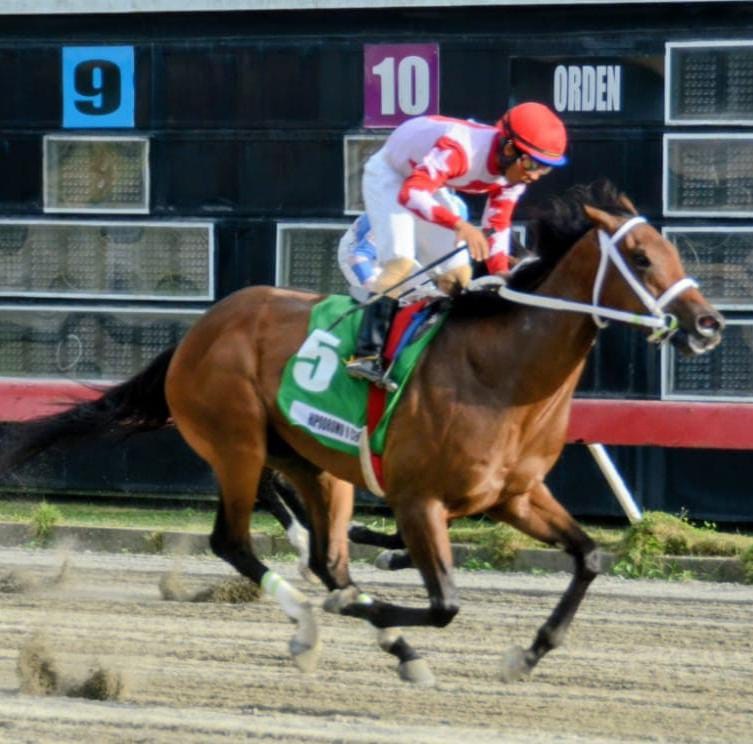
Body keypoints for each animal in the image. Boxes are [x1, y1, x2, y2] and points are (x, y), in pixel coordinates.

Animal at [0, 180, 723, 686]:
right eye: (639, 257)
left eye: (673, 250)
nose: (707, 324)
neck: (501, 373)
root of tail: (199, 330)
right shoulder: (417, 500)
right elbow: (445, 603)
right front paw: (369, 607)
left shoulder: (515, 496)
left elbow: (590, 556)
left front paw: (529, 652)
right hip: (238, 445)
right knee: (234, 542)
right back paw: (315, 623)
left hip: (316, 464)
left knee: (326, 557)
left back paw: (378, 632)